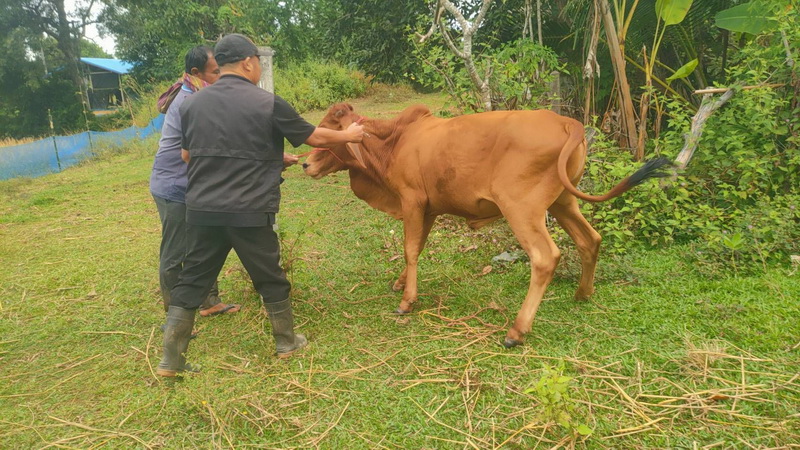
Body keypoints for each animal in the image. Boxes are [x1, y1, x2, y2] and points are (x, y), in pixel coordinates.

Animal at [302, 103, 670, 348]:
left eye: (329, 129)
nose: (305, 164)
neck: (394, 141)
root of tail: (567, 123)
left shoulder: (412, 201)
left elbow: (409, 249)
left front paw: (407, 301)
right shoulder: (428, 209)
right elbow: (417, 247)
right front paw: (401, 283)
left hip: (521, 209)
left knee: (545, 258)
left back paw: (516, 331)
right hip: (564, 202)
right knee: (590, 239)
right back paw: (582, 294)